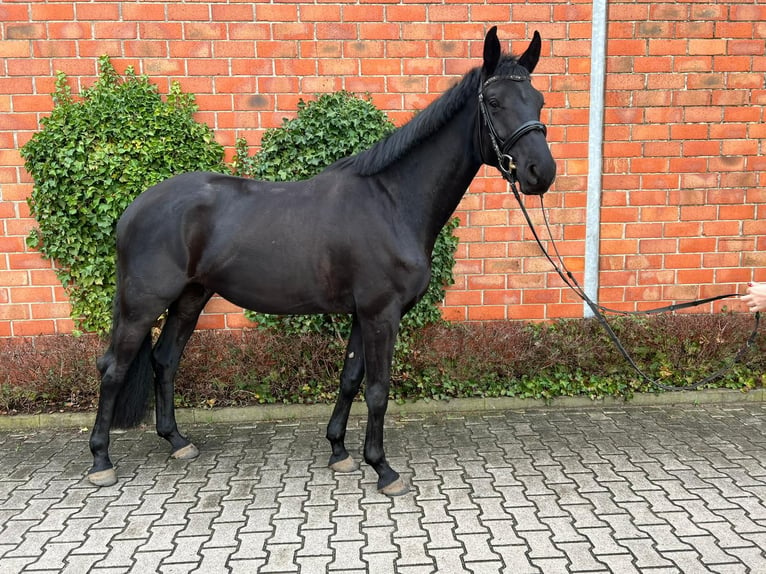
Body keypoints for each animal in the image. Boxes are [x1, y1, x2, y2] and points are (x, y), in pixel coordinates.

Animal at [88, 27, 560, 498]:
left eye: (538, 99)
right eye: (494, 101)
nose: (541, 172)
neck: (391, 202)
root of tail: (133, 209)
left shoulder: (362, 314)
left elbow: (350, 378)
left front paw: (339, 451)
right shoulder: (381, 314)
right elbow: (377, 390)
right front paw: (383, 469)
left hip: (190, 297)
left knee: (165, 360)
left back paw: (177, 441)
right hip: (142, 303)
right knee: (113, 367)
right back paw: (100, 460)